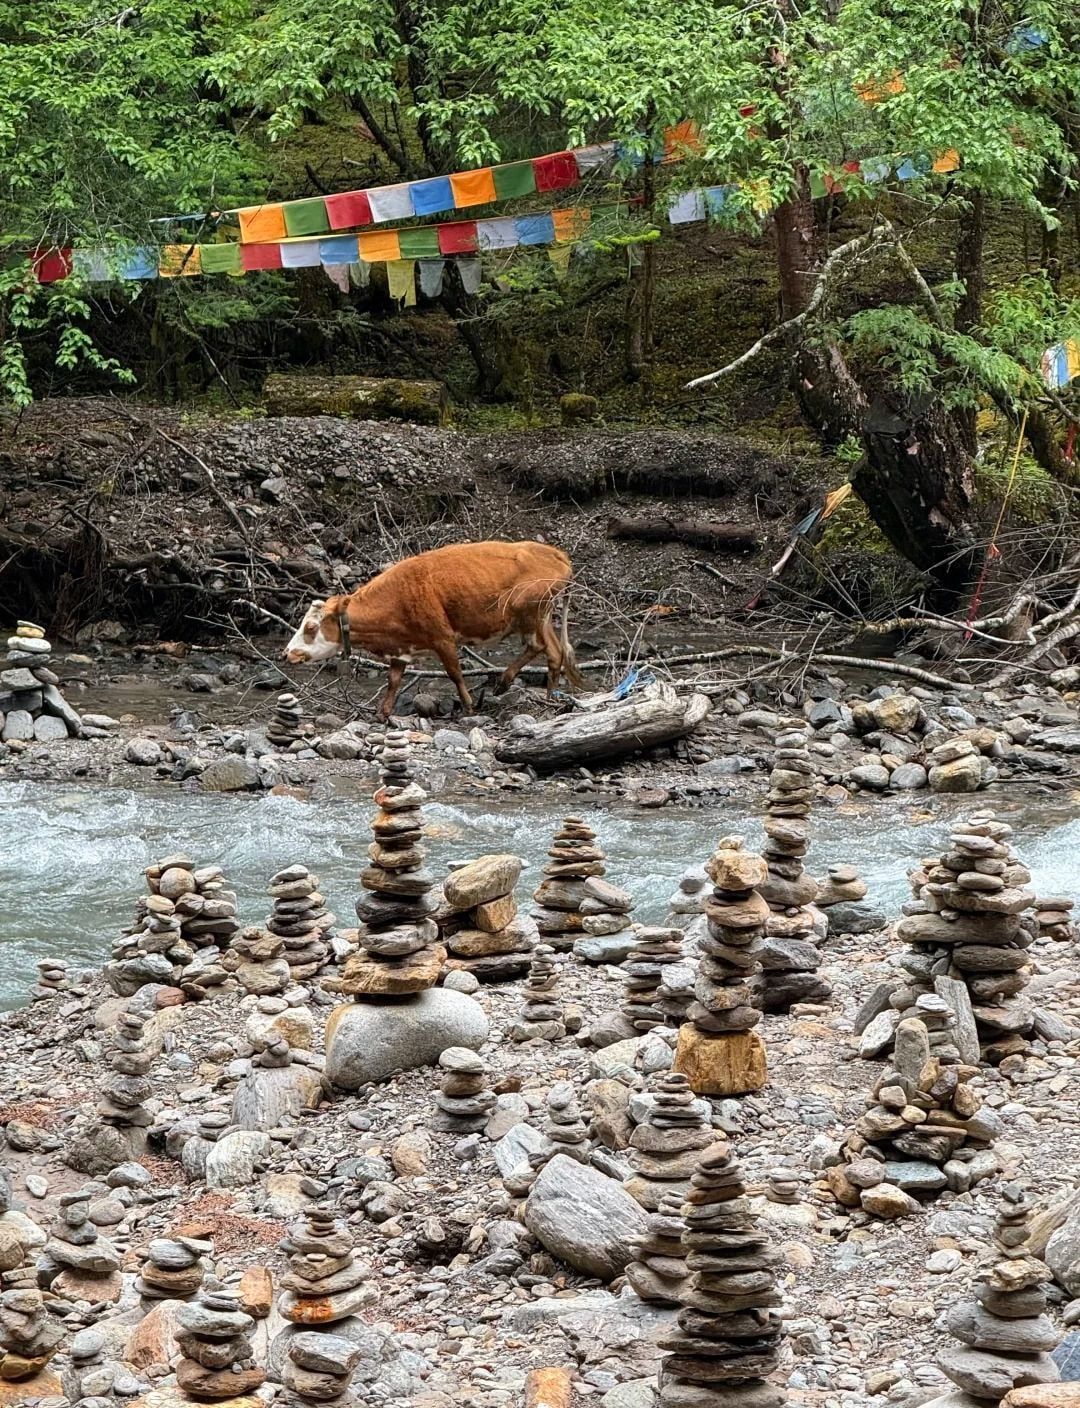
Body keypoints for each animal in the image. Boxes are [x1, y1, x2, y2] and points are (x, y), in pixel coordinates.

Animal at [285, 540, 582, 718]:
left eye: (310, 627)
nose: (286, 653)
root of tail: (554, 553)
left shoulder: (443, 638)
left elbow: (455, 673)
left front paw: (468, 706)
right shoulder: (401, 648)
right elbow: (393, 680)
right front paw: (384, 711)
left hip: (529, 613)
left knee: (538, 646)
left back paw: (503, 682)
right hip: (544, 617)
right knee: (555, 653)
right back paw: (549, 698)